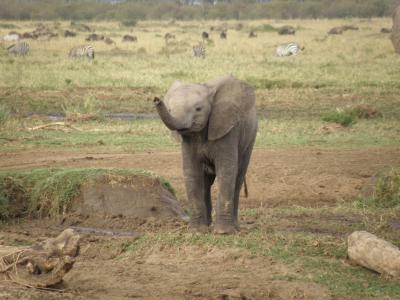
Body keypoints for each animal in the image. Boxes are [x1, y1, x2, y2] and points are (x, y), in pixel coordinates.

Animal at [155, 75, 258, 234]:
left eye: (198, 109)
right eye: (170, 109)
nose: (156, 99)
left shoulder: (227, 129)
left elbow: (227, 171)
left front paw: (223, 233)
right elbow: (192, 172)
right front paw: (197, 231)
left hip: (250, 139)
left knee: (238, 178)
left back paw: (234, 227)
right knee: (206, 184)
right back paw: (208, 225)